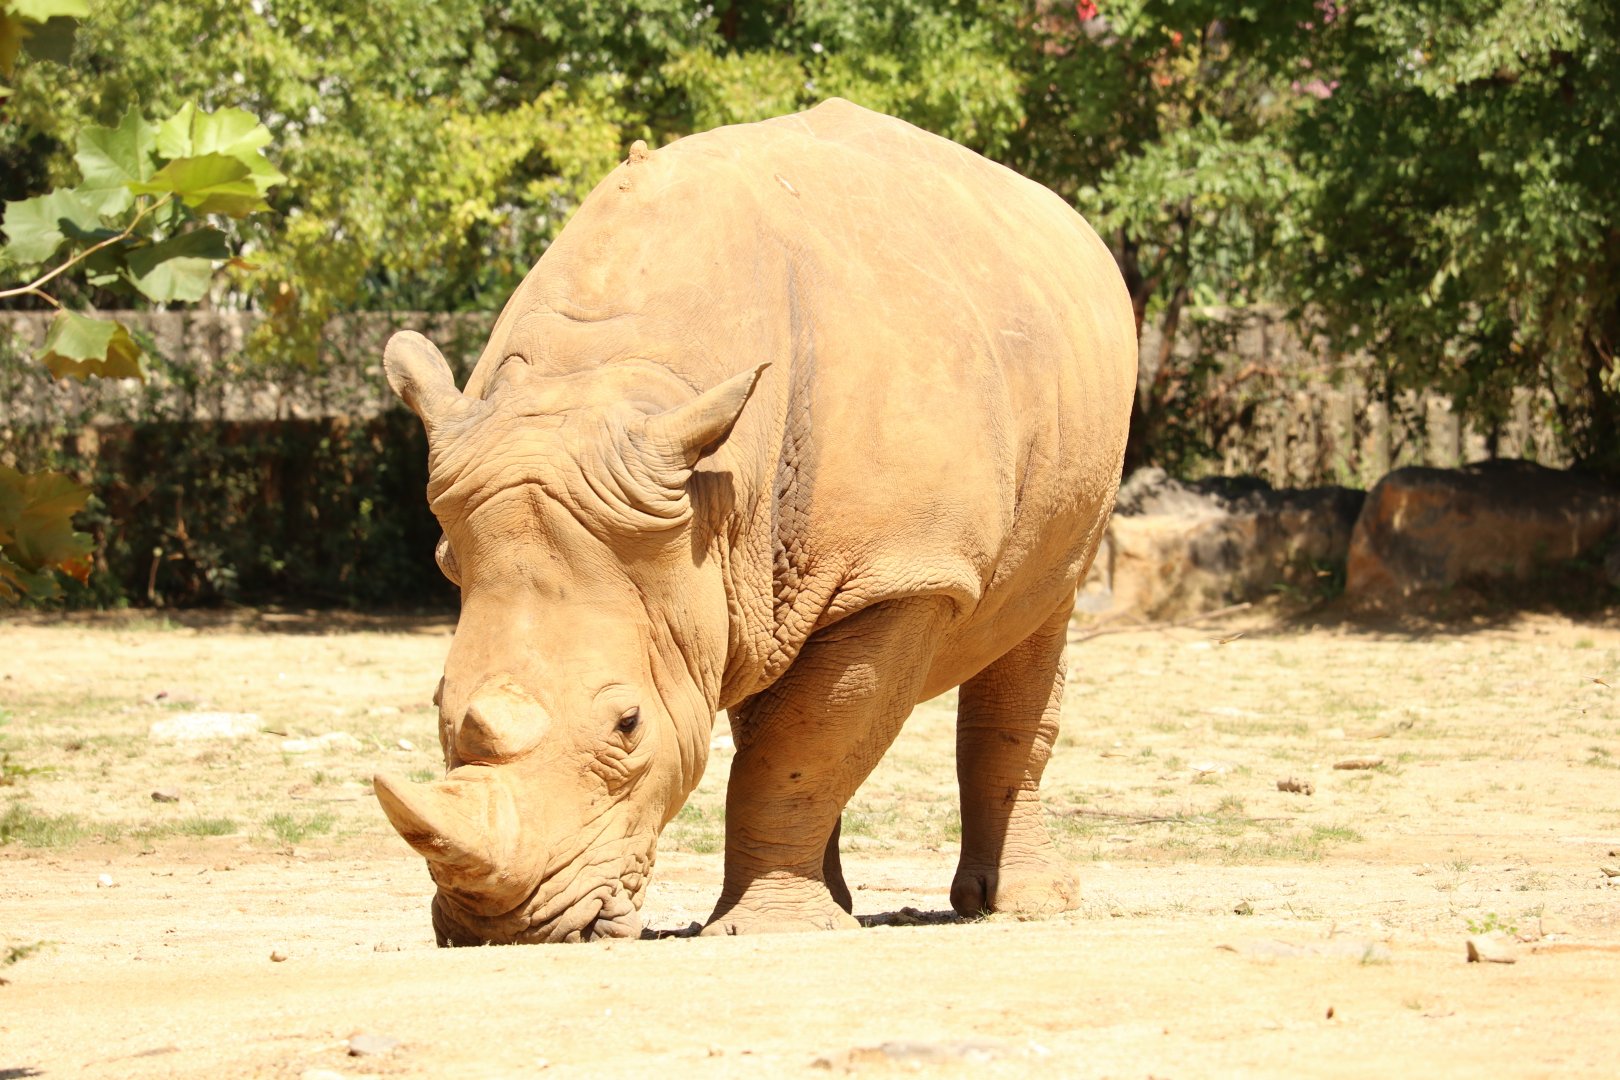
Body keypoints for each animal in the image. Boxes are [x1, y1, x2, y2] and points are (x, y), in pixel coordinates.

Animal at [374, 99, 1137, 945]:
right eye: (438, 703)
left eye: (628, 725)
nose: (500, 927)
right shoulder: (716, 551)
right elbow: (805, 735)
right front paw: (797, 922)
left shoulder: (899, 573)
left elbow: (805, 744)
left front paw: (775, 931)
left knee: (1038, 618)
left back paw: (1019, 906)